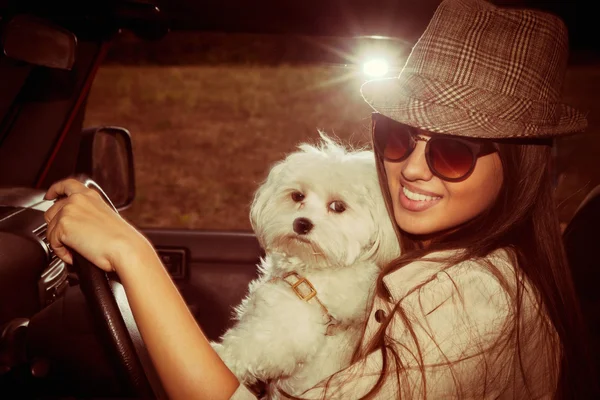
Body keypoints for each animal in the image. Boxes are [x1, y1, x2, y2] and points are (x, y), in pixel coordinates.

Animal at [211, 135, 398, 396]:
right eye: (297, 196)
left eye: (338, 206)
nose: (301, 223)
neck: (312, 270)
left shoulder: (283, 332)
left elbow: (247, 349)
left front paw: (220, 356)